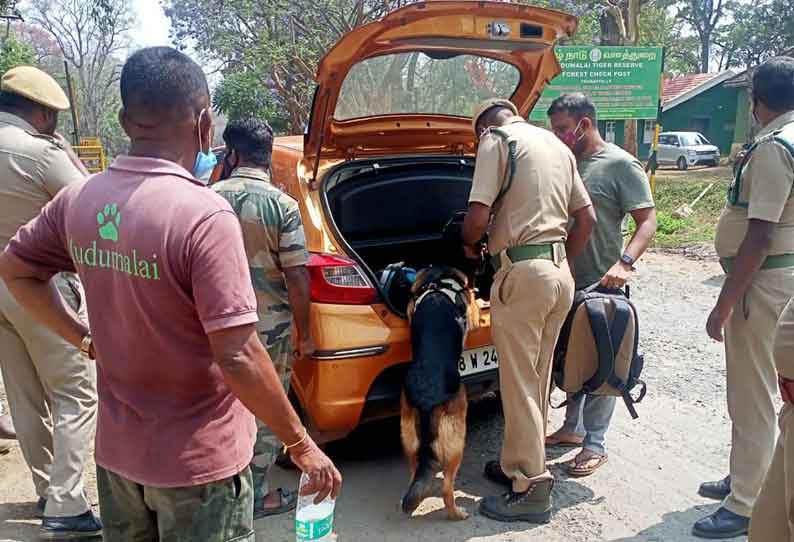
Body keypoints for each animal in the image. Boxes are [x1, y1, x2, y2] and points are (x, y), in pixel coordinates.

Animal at [400, 268, 480, 524]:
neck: (438, 282)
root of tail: (427, 399)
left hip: (409, 437)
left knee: (414, 473)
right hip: (457, 441)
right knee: (447, 488)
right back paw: (457, 513)